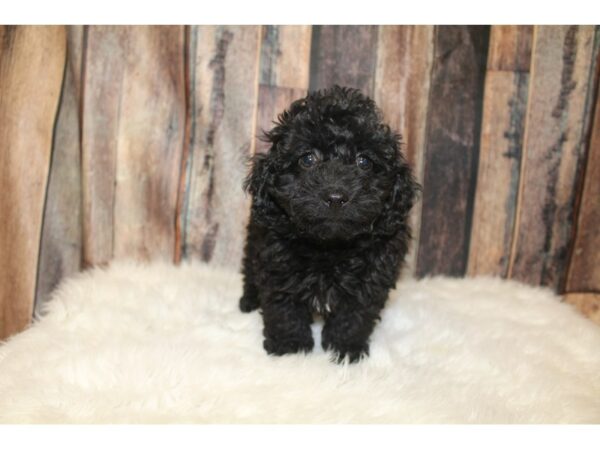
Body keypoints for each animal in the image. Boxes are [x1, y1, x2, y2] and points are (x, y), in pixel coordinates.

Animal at [239, 86, 418, 364]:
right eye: (307, 159)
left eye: (364, 162)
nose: (335, 197)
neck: (329, 246)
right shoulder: (277, 261)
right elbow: (284, 308)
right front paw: (289, 346)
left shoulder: (372, 274)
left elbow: (354, 314)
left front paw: (344, 349)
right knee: (249, 266)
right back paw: (248, 301)